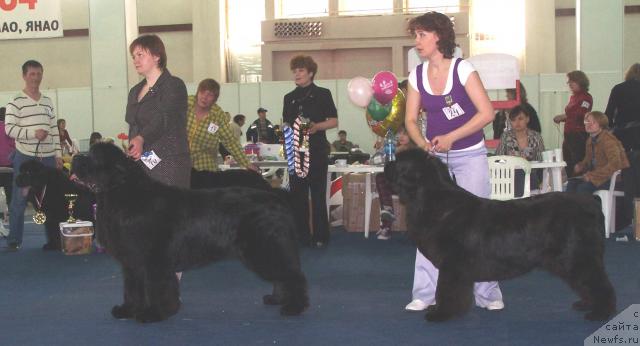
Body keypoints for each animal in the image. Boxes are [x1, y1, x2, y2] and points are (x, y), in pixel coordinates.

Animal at [72, 143, 308, 322]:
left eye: (93, 156)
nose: (74, 157)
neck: (122, 192)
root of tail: (277, 199)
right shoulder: (132, 260)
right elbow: (132, 288)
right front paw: (128, 310)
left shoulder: (154, 259)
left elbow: (157, 287)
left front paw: (154, 313)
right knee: (283, 275)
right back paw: (278, 299)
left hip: (265, 247)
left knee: (293, 275)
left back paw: (294, 307)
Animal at [384, 149, 616, 322]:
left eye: (398, 161)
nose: (386, 164)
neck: (434, 200)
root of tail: (591, 203)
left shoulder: (453, 264)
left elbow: (446, 289)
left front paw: (441, 314)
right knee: (587, 283)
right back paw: (586, 304)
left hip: (577, 255)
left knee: (597, 282)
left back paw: (600, 312)